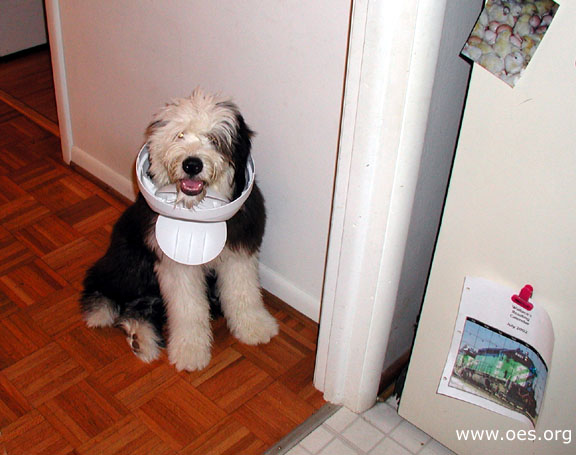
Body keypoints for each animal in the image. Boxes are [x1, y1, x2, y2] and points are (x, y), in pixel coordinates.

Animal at [81, 91, 280, 372]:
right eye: (180, 135)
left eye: (214, 139)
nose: (192, 165)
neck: (195, 213)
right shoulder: (176, 267)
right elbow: (188, 309)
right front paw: (190, 351)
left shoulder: (238, 252)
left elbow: (243, 291)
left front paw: (255, 326)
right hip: (132, 262)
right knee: (104, 284)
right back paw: (108, 313)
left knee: (143, 305)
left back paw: (140, 339)